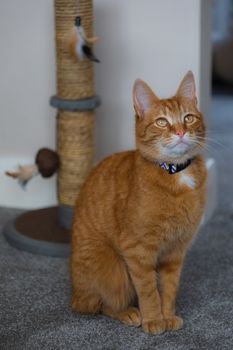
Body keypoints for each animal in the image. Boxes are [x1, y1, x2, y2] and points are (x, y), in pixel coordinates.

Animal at [70, 70, 206, 334]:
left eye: (188, 118)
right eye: (162, 122)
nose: (181, 132)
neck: (175, 173)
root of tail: (73, 293)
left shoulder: (175, 252)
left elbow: (169, 288)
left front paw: (168, 315)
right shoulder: (138, 251)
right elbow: (149, 290)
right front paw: (153, 319)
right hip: (113, 269)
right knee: (101, 304)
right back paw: (130, 313)